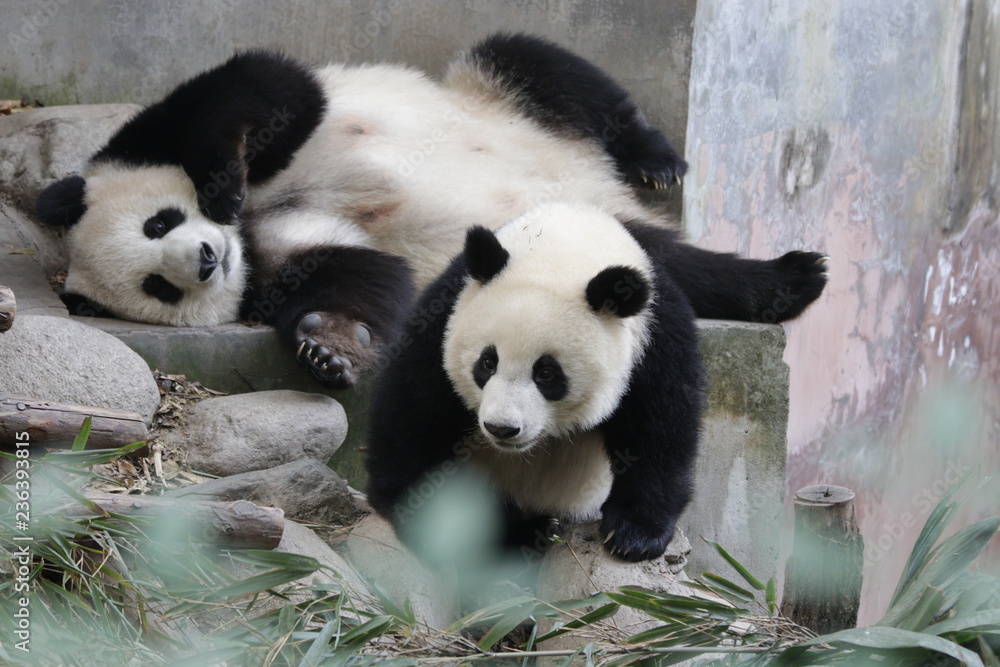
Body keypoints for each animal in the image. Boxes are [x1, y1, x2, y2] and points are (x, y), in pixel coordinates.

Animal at [35, 33, 823, 390]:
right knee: (662, 263)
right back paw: (779, 282)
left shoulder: (160, 135)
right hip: (572, 237)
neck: (249, 227)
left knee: (544, 68)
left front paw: (222, 175)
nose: (203, 259)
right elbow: (361, 269)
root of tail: (601, 187)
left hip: (507, 98)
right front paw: (330, 346)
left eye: (159, 222)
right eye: (157, 287)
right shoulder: (270, 256)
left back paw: (661, 163)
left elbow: (264, 92)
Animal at [365, 202, 826, 563]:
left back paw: (802, 275)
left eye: (547, 373)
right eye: (486, 362)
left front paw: (633, 534)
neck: (564, 246)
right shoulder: (444, 317)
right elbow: (409, 426)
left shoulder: (652, 334)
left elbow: (661, 427)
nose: (502, 428)